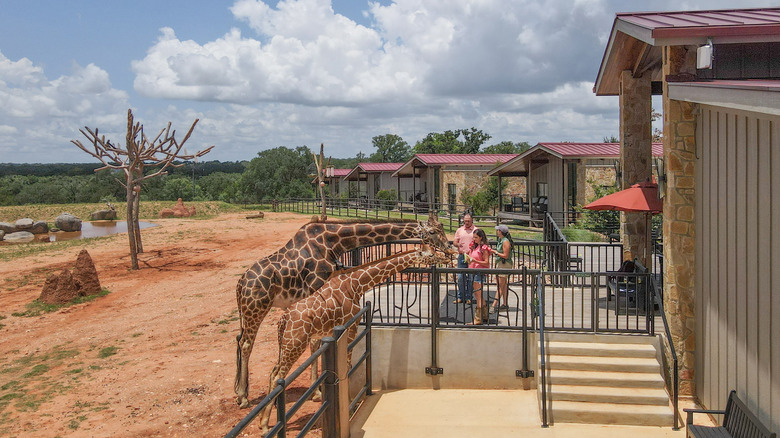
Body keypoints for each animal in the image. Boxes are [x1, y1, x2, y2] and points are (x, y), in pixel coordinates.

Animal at [235, 215, 454, 407]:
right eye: (433, 231)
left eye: (442, 228)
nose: (449, 248)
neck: (335, 242)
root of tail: (240, 284)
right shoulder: (316, 285)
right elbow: (315, 342)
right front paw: (318, 392)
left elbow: (317, 339)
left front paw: (317, 390)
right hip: (257, 307)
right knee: (246, 344)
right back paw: (244, 397)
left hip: (247, 311)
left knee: (240, 339)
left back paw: (241, 392)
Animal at [260, 246, 451, 432]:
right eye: (431, 254)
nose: (447, 257)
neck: (356, 283)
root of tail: (284, 320)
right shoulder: (350, 327)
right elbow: (348, 366)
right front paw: (350, 406)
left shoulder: (330, 330)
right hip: (295, 343)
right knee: (278, 376)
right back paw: (265, 426)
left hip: (285, 343)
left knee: (273, 371)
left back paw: (267, 419)